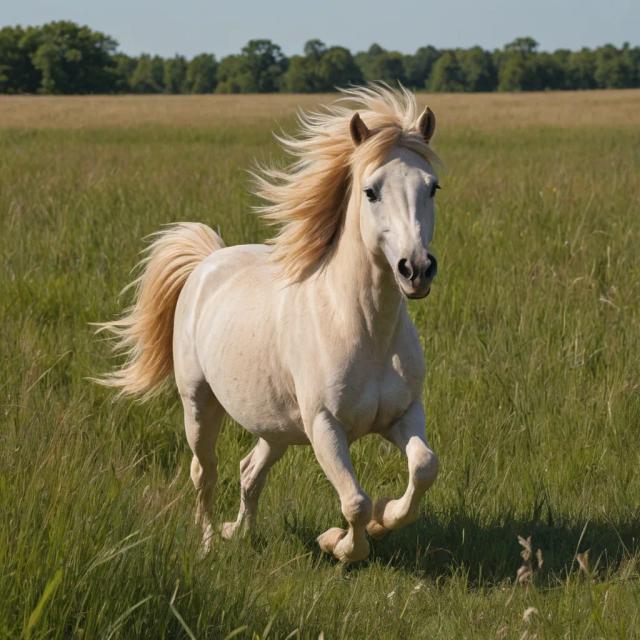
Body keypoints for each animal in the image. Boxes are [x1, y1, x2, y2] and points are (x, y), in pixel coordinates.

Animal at [97, 85, 442, 563]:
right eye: (371, 191)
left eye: (432, 187)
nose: (416, 270)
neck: (365, 330)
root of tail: (207, 261)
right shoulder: (325, 427)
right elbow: (354, 500)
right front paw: (337, 543)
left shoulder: (404, 414)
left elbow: (424, 467)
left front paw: (383, 520)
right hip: (199, 404)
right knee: (204, 472)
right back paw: (209, 542)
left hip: (275, 426)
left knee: (248, 471)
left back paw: (239, 532)